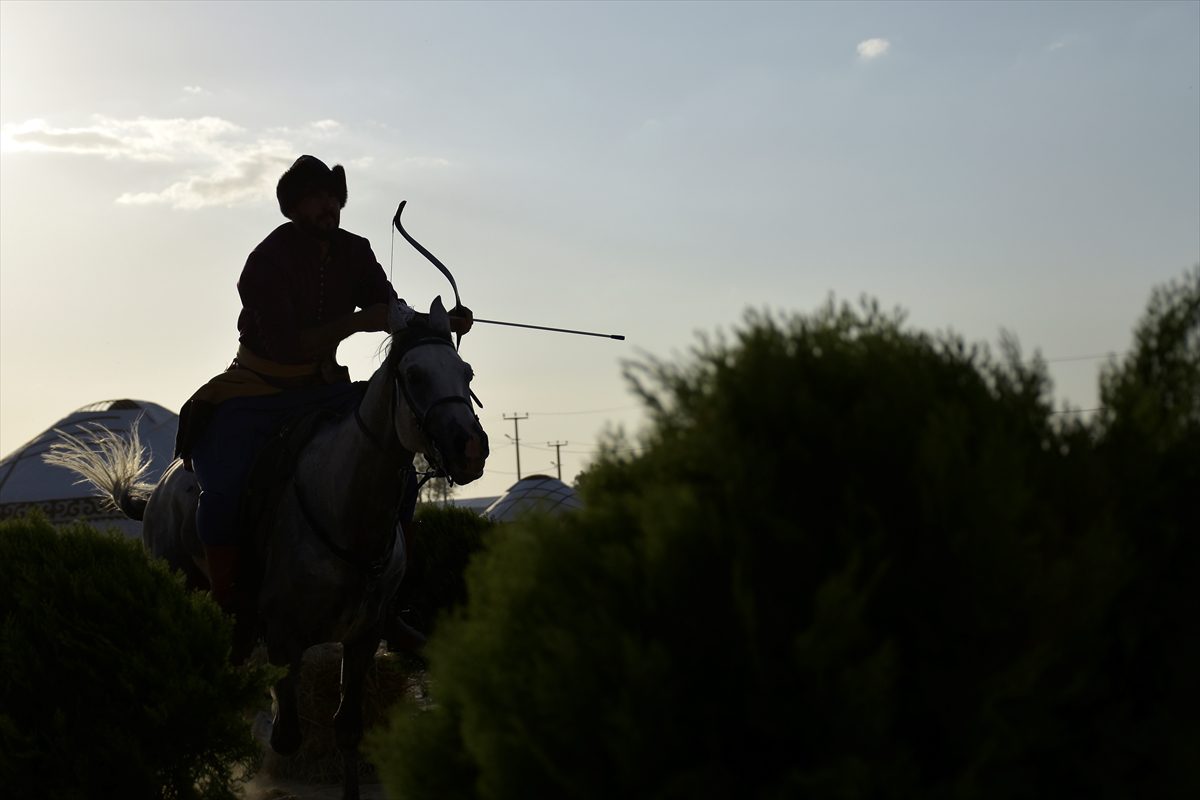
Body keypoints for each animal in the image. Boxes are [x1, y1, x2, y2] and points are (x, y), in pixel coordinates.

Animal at [46, 298, 487, 800]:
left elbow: (347, 728)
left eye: (466, 372)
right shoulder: (283, 636)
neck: (344, 505)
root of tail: (154, 496)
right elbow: (286, 735)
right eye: (414, 375)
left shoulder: (363, 637)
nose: (471, 448)